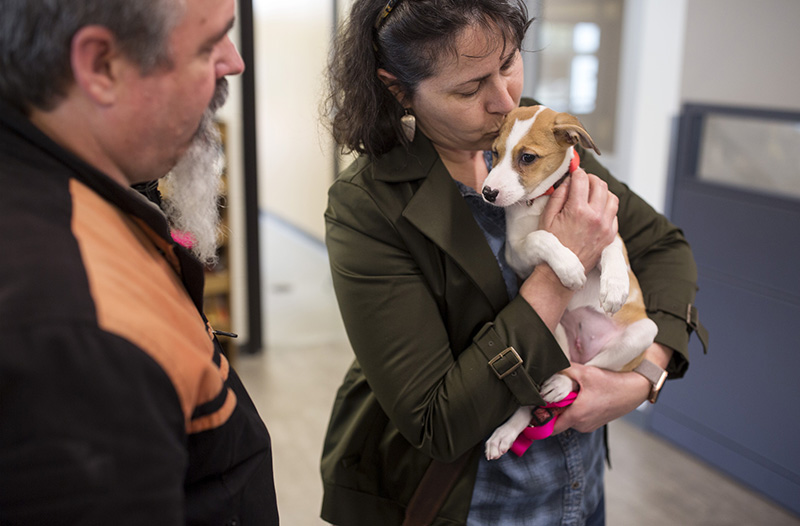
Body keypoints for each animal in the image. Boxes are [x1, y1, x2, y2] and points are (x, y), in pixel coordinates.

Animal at [482, 105, 656, 460]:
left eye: (528, 157)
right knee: (548, 388)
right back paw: (506, 432)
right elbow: (541, 235)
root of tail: (580, 350)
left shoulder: (609, 226)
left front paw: (615, 286)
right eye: (494, 152)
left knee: (588, 373)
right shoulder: (516, 253)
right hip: (552, 333)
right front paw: (570, 266)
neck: (543, 200)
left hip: (643, 333)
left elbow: (612, 247)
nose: (488, 193)